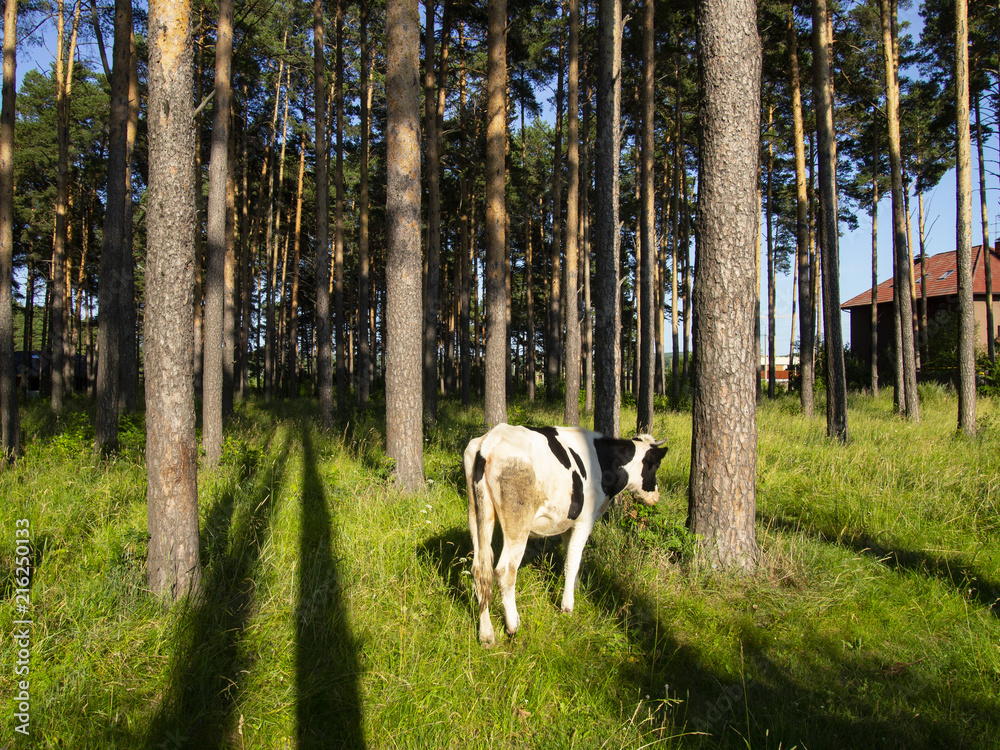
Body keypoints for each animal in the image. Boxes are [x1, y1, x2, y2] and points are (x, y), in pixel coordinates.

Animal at [464, 424, 668, 646]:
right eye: (655, 465)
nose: (656, 495)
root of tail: (490, 440)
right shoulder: (584, 521)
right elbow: (573, 561)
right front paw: (568, 606)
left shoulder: (567, 523)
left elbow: (571, 557)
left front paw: (575, 589)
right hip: (518, 523)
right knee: (504, 570)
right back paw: (512, 625)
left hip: (478, 515)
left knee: (480, 570)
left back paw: (486, 634)